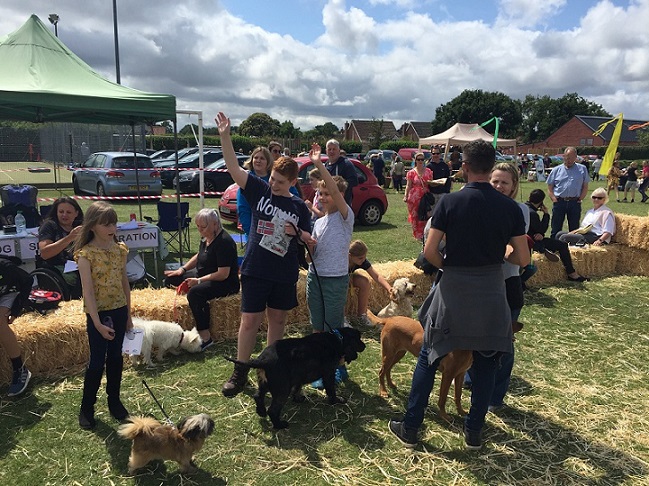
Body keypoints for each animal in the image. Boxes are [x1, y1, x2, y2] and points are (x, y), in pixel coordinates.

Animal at [225, 326, 362, 430]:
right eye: (358, 339)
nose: (364, 346)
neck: (338, 339)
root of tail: (262, 361)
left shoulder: (299, 377)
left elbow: (297, 387)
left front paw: (298, 398)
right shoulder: (328, 373)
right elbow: (331, 389)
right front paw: (336, 400)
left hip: (264, 382)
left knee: (258, 396)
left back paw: (261, 412)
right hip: (282, 389)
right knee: (273, 410)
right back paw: (280, 425)